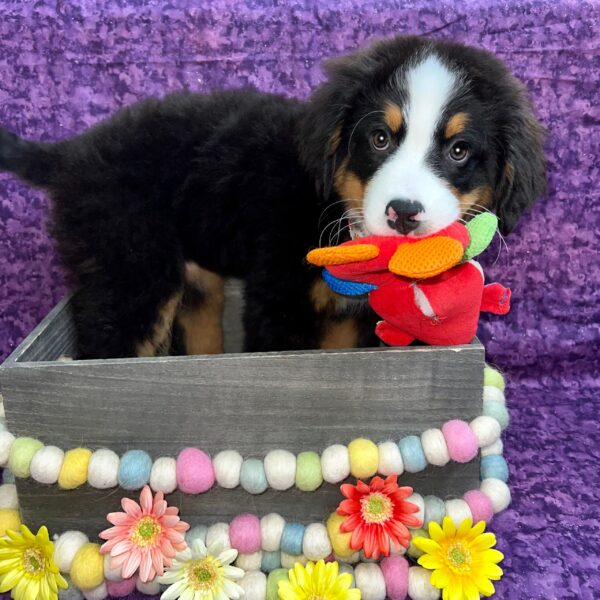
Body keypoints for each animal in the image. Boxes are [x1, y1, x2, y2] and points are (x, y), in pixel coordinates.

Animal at [0, 36, 544, 360]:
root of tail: (72, 151)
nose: (404, 214)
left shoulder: (354, 319)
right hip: (131, 267)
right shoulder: (278, 297)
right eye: (379, 139)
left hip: (194, 279)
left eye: (459, 150)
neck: (336, 211)